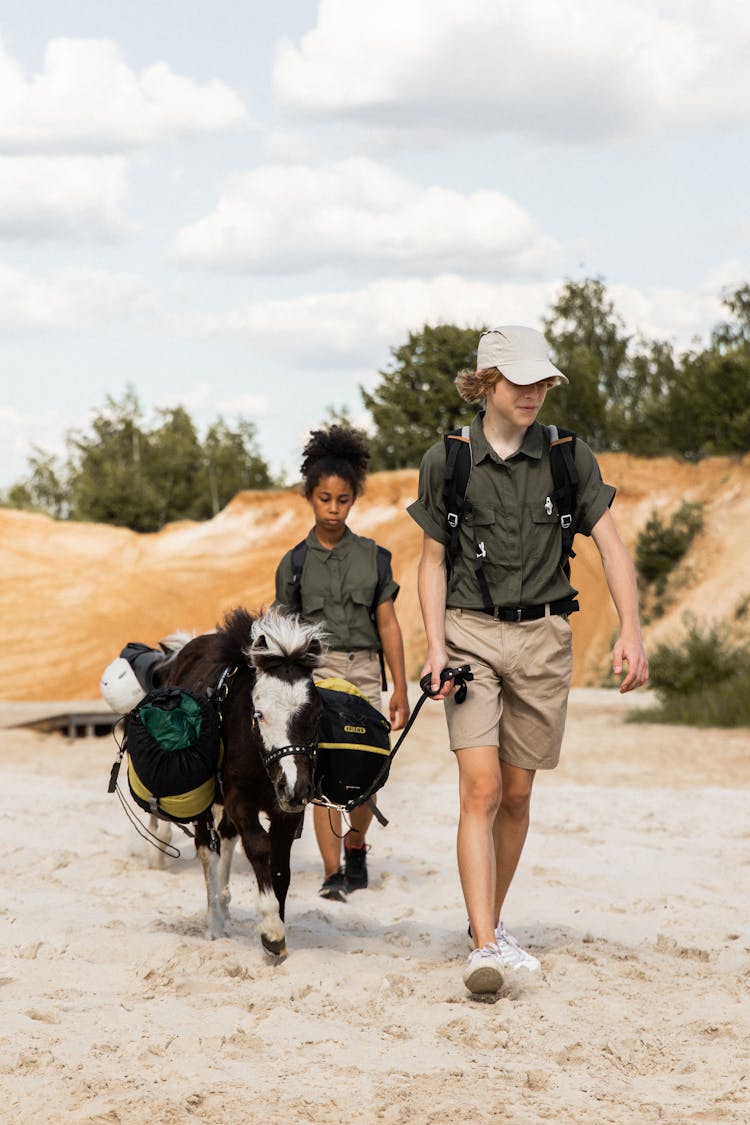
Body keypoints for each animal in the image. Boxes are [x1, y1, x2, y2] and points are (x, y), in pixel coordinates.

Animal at [105, 607, 326, 958]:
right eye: (259, 714)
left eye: (317, 713)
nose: (294, 788)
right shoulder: (238, 798)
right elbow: (257, 846)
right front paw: (271, 931)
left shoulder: (287, 810)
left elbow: (280, 863)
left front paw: (276, 929)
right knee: (207, 848)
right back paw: (215, 923)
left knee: (225, 838)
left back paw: (223, 903)